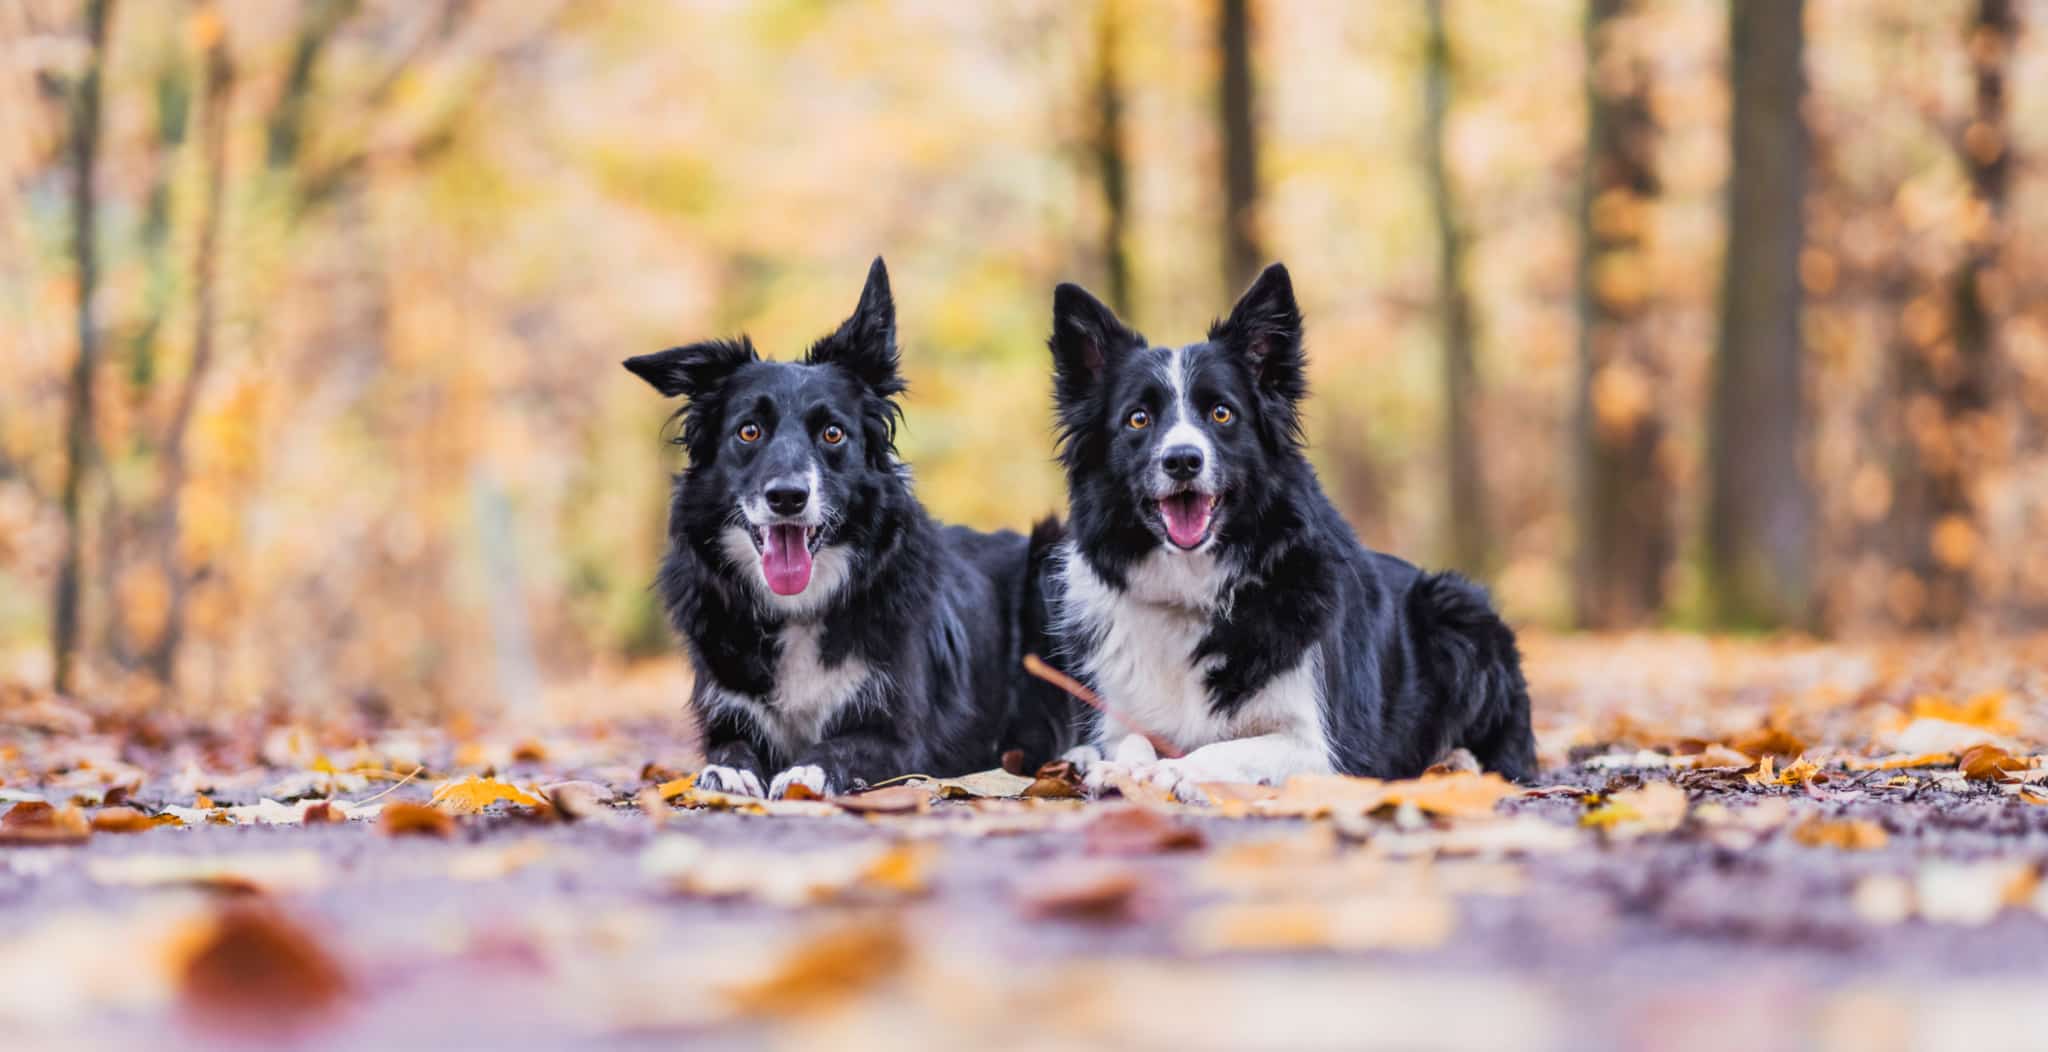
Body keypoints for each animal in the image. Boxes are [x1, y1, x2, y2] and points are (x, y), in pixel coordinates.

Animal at [618, 259, 1040, 794]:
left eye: (832, 433)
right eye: (749, 431)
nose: (787, 497)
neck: (798, 610)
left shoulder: (900, 738)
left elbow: (838, 747)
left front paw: (805, 771)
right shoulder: (727, 713)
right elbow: (729, 749)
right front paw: (728, 773)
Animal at [1024, 259, 1540, 794]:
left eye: (1222, 413)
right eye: (1138, 419)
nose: (1183, 460)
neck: (1192, 593)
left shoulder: (1326, 749)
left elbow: (1225, 750)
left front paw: (1175, 769)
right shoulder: (1117, 712)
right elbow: (1130, 740)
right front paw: (1123, 766)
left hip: (1457, 607)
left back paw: (1457, 763)